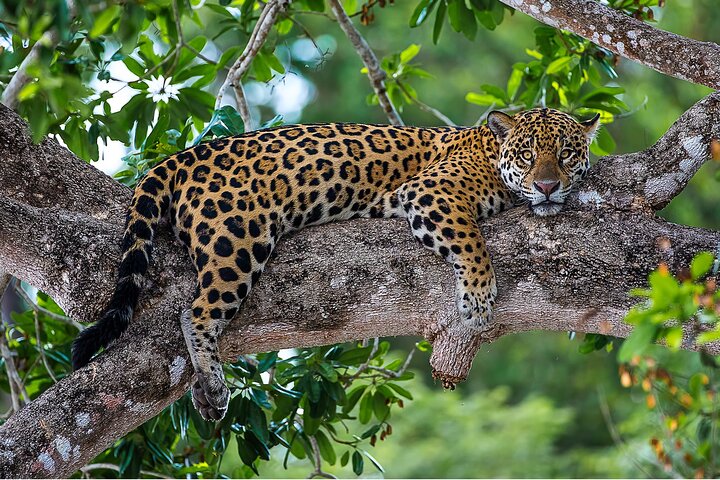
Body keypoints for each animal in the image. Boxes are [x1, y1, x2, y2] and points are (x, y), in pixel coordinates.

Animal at [72, 107, 599, 421]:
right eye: (527, 155)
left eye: (567, 154)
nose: (548, 186)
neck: (490, 154)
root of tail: (180, 157)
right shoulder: (431, 192)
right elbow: (473, 245)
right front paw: (477, 298)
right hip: (236, 242)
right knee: (195, 312)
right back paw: (214, 385)